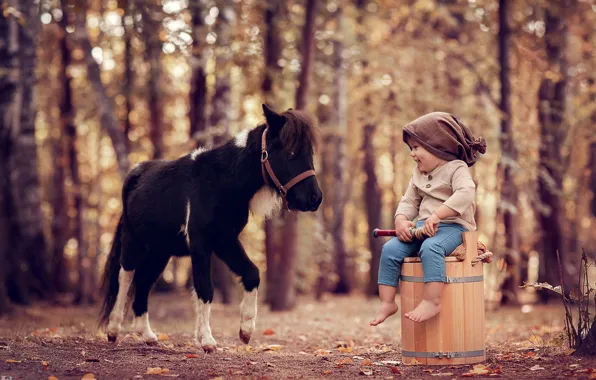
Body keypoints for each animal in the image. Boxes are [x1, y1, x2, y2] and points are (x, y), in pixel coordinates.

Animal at [99, 104, 322, 354]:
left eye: (310, 153)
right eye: (290, 153)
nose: (315, 198)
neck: (220, 182)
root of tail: (136, 173)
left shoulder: (225, 240)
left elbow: (252, 273)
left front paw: (245, 331)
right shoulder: (201, 243)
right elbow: (205, 288)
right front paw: (207, 340)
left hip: (160, 252)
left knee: (144, 282)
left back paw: (148, 335)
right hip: (133, 242)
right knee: (126, 276)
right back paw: (113, 330)